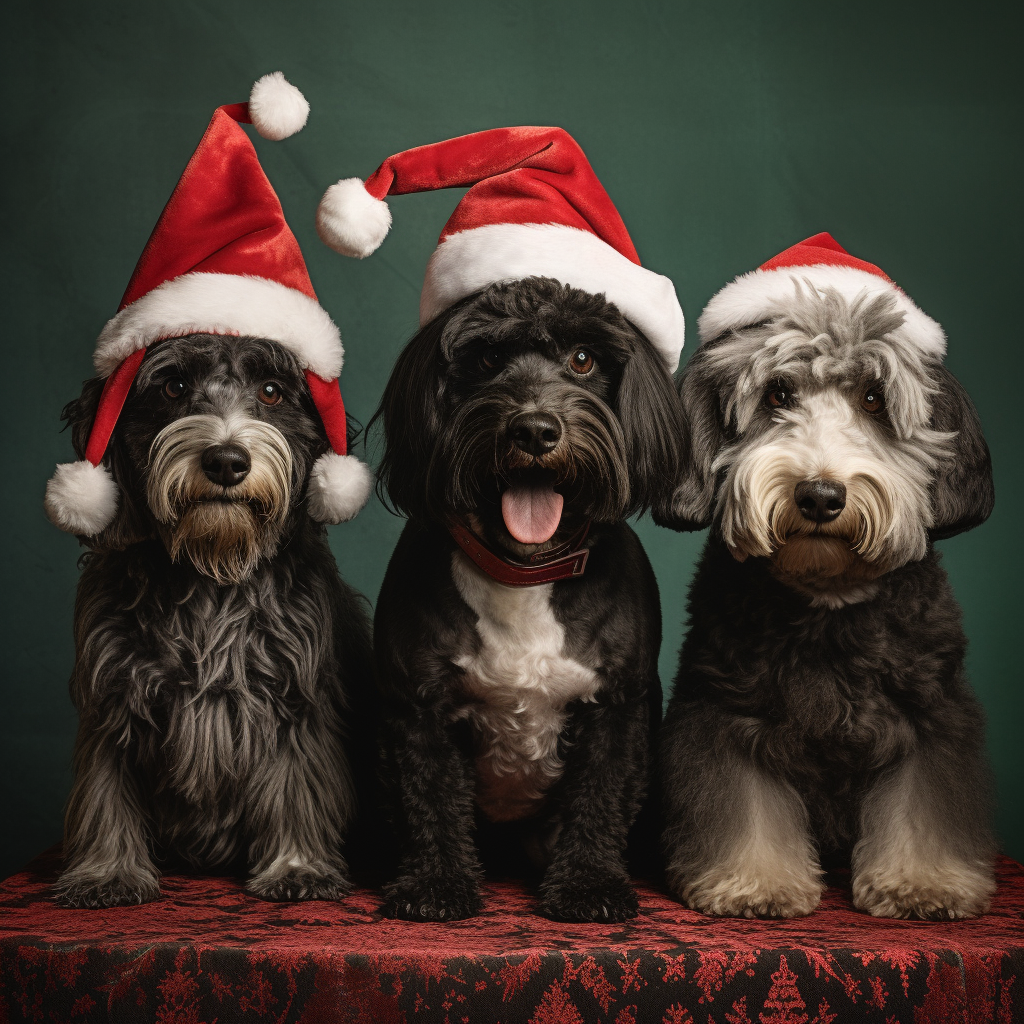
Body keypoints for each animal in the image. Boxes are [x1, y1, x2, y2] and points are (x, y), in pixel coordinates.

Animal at [48, 333, 376, 905]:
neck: (209, 571)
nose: (226, 461)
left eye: (271, 391)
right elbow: (105, 792)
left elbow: (297, 783)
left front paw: (297, 866)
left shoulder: (294, 696)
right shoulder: (112, 693)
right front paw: (106, 873)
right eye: (174, 386)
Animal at [372, 276, 684, 925]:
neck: (523, 571)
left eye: (583, 359)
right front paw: (436, 883)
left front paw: (589, 885)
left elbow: (599, 797)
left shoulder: (617, 707)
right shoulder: (417, 705)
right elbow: (428, 797)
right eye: (488, 359)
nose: (536, 430)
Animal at [659, 256, 995, 921]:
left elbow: (922, 807)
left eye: (873, 397)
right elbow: (744, 808)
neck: (828, 602)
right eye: (777, 394)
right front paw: (753, 882)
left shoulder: (932, 714)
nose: (819, 495)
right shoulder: (723, 714)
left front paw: (923, 883)